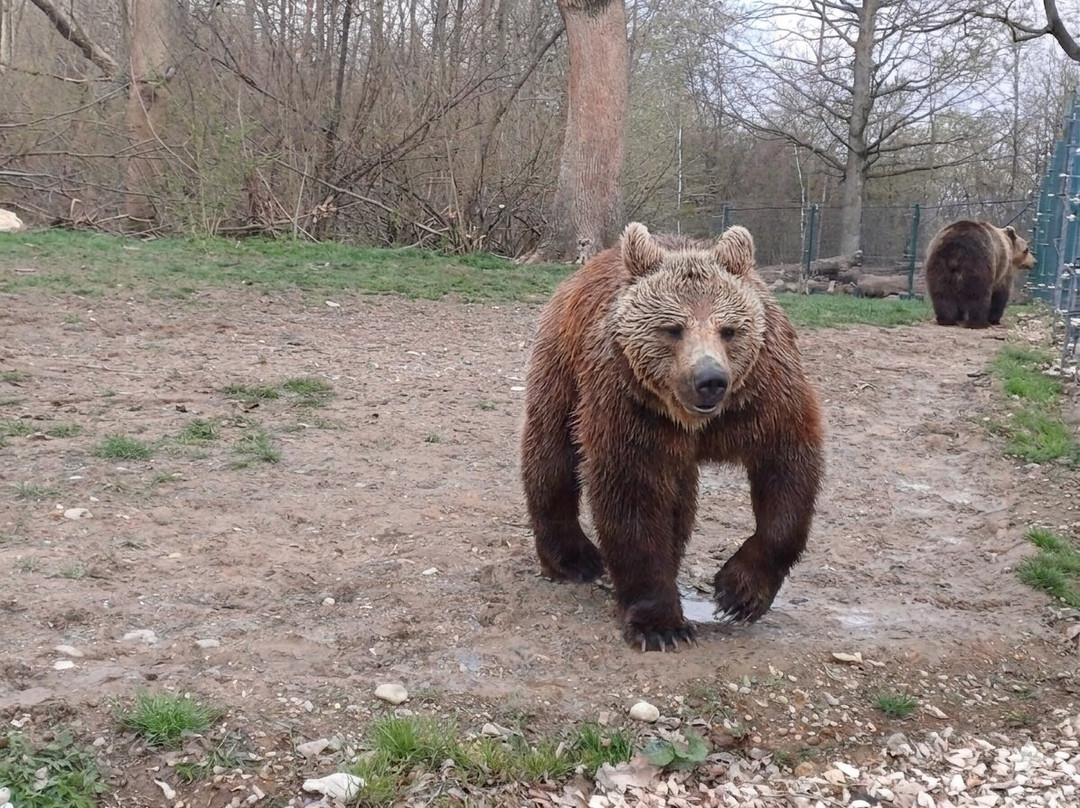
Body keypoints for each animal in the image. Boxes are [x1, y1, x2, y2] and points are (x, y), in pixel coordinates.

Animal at [520, 223, 825, 651]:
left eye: (729, 330)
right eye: (672, 329)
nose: (710, 380)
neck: (695, 422)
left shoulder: (764, 398)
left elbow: (788, 473)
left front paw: (739, 594)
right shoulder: (631, 410)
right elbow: (631, 498)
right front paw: (661, 625)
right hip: (563, 369)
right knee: (552, 456)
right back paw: (574, 559)